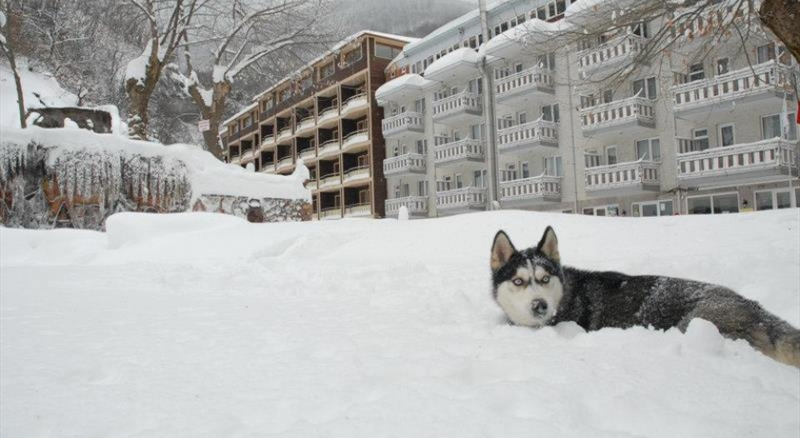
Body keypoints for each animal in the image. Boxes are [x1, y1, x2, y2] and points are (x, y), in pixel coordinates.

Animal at [488, 226, 800, 366]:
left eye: (544, 279)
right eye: (518, 281)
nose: (539, 306)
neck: (565, 296)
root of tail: (753, 306)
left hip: (696, 322)